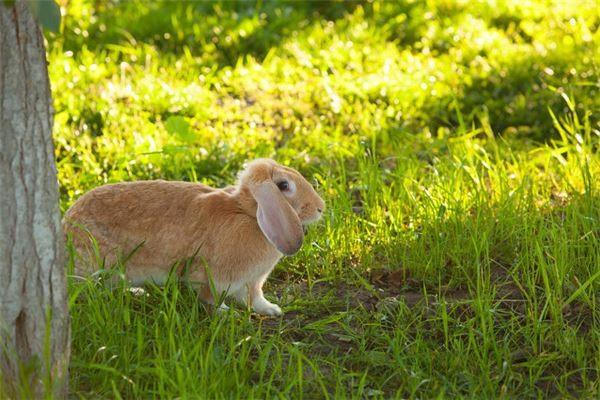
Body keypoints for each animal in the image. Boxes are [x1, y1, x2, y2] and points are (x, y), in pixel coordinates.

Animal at [63, 159, 326, 316]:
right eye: (283, 185)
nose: (320, 208)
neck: (248, 213)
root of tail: (66, 226)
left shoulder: (253, 280)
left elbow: (255, 297)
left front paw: (272, 310)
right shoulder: (212, 276)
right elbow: (210, 298)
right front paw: (225, 313)